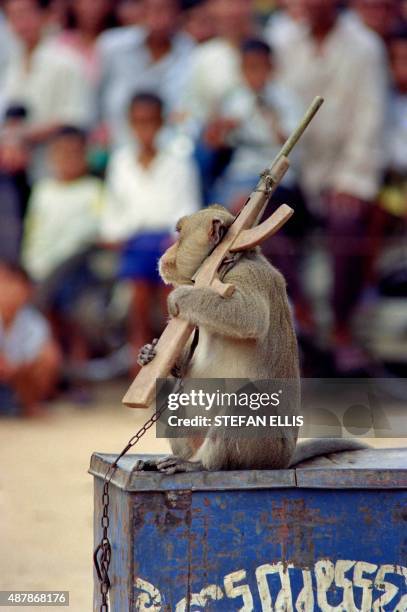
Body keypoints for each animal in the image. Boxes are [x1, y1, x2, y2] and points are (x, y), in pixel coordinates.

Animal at [135, 206, 368, 474]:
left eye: (179, 233)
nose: (165, 253)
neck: (222, 268)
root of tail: (284, 459)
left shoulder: (246, 274)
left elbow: (249, 316)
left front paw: (179, 297)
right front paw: (148, 353)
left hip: (264, 449)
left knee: (245, 399)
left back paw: (201, 465)